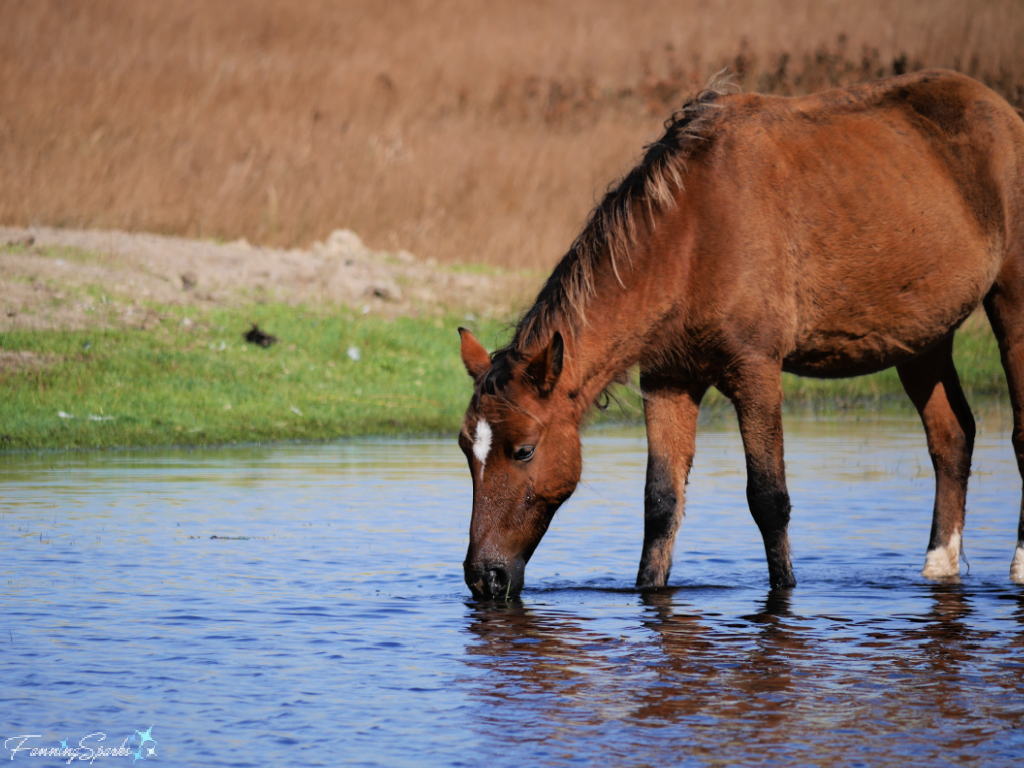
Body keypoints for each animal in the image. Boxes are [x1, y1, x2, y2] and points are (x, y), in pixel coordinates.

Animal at [456, 70, 1024, 602]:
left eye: (524, 451)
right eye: (466, 448)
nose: (484, 577)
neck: (690, 234)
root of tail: (1003, 112)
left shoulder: (756, 371)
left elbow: (769, 499)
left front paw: (785, 592)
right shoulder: (668, 380)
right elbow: (661, 503)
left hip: (1011, 309)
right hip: (922, 339)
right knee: (952, 438)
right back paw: (938, 569)